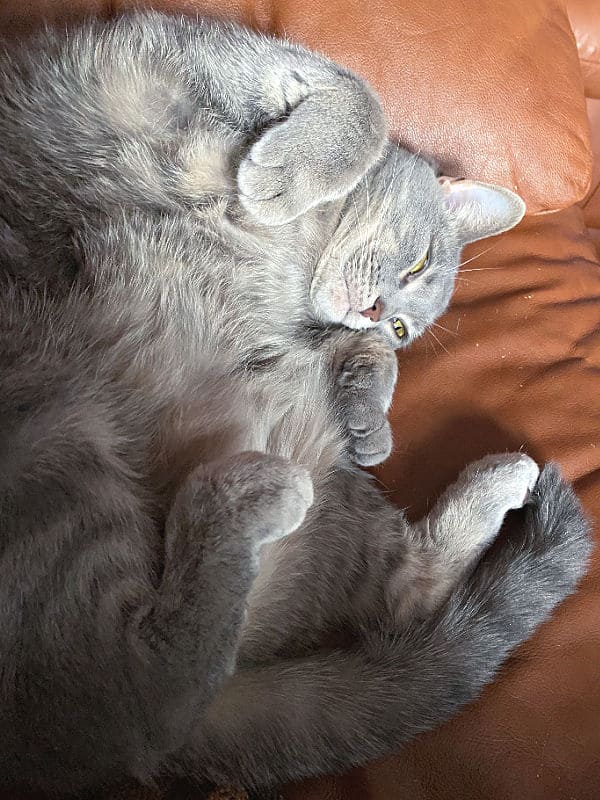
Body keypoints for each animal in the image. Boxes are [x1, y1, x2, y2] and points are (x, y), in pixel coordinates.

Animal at [0, 9, 592, 796]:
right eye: (417, 263)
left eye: (403, 325)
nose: (377, 312)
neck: (299, 248)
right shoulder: (199, 51)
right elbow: (364, 104)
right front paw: (283, 177)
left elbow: (352, 351)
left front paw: (370, 410)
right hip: (51, 421)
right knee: (128, 701)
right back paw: (244, 497)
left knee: (397, 595)